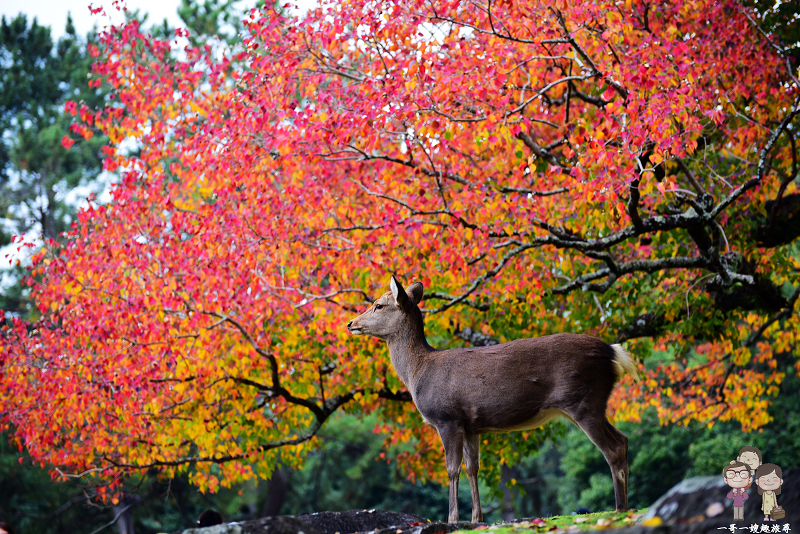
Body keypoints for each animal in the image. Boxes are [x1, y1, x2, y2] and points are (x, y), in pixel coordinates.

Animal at [347, 276, 639, 523]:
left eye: (378, 305)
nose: (351, 323)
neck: (418, 372)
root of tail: (613, 352)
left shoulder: (448, 418)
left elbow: (452, 469)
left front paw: (452, 519)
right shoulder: (471, 426)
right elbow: (472, 468)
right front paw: (477, 518)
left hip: (583, 400)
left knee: (613, 448)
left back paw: (619, 509)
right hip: (593, 403)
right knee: (623, 439)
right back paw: (624, 506)